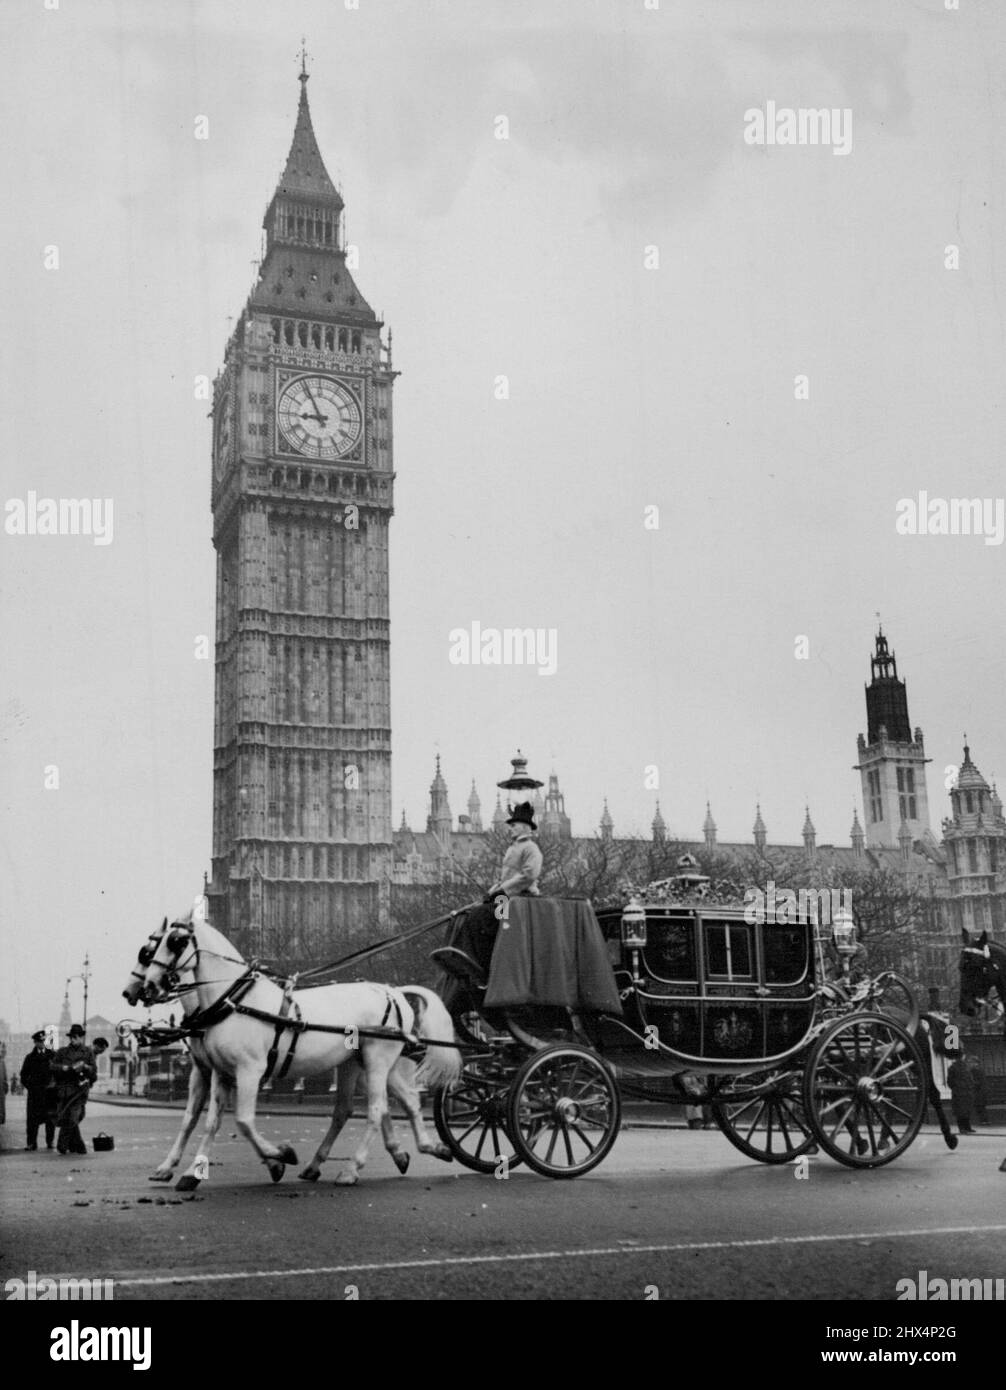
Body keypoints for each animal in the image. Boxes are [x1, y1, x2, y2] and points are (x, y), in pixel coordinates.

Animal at [121, 906, 458, 1189]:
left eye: (176, 942)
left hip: (377, 1059)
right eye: (151, 949)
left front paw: (281, 1156)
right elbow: (206, 1120)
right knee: (384, 1104)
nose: (142, 989)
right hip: (358, 1063)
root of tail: (391, 991)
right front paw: (188, 1171)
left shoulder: (249, 1070)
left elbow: (243, 1121)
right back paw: (422, 1149)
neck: (233, 1001)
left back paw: (352, 1169)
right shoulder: (217, 1071)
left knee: (377, 1110)